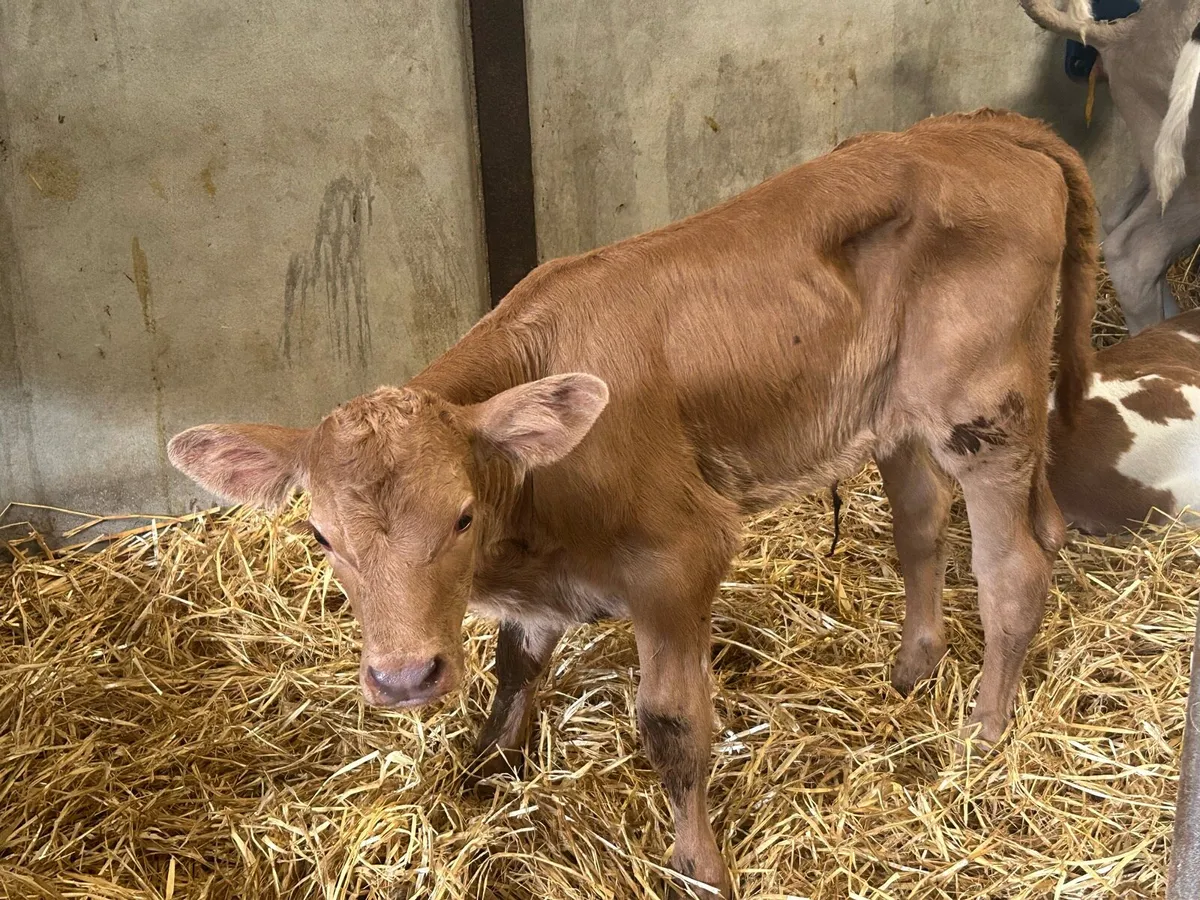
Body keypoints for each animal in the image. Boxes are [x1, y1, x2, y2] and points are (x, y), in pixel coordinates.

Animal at [167, 109, 1097, 898]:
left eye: (461, 516)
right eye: (321, 536)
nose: (405, 678)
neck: (530, 523)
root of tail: (976, 127)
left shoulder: (680, 556)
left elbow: (671, 725)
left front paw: (698, 866)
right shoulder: (540, 591)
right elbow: (514, 671)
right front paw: (481, 769)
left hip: (985, 412)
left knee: (1014, 570)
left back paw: (983, 736)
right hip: (890, 414)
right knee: (919, 527)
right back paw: (911, 670)